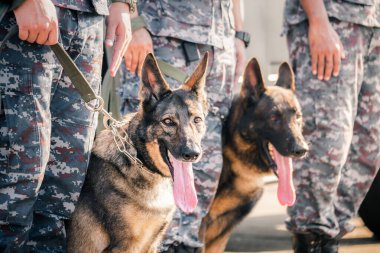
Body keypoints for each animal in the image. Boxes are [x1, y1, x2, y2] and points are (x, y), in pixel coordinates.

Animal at [68, 52, 211, 252]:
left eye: (197, 120)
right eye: (168, 122)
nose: (192, 154)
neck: (140, 162)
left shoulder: (151, 244)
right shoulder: (123, 246)